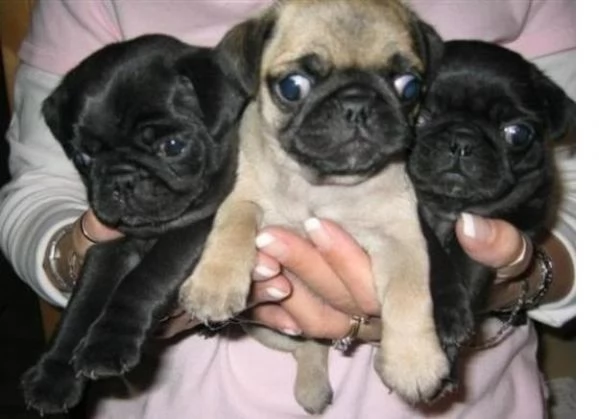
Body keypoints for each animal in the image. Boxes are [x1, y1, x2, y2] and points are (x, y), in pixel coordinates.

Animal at [21, 34, 246, 416]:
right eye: (84, 157)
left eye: (173, 146)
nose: (121, 180)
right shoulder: (109, 247)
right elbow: (82, 305)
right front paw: (54, 374)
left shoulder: (194, 228)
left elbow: (144, 278)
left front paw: (107, 344)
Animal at [180, 0, 448, 414]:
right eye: (293, 87)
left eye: (409, 86)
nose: (357, 103)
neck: (322, 187)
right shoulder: (244, 197)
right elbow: (235, 221)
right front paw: (215, 284)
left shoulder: (400, 237)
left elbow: (410, 292)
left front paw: (413, 363)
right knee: (304, 346)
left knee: (312, 346)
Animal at [408, 40, 576, 388]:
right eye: (420, 116)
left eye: (517, 133)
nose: (461, 141)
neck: (451, 206)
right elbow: (433, 253)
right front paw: (447, 315)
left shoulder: (491, 225)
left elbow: (467, 265)